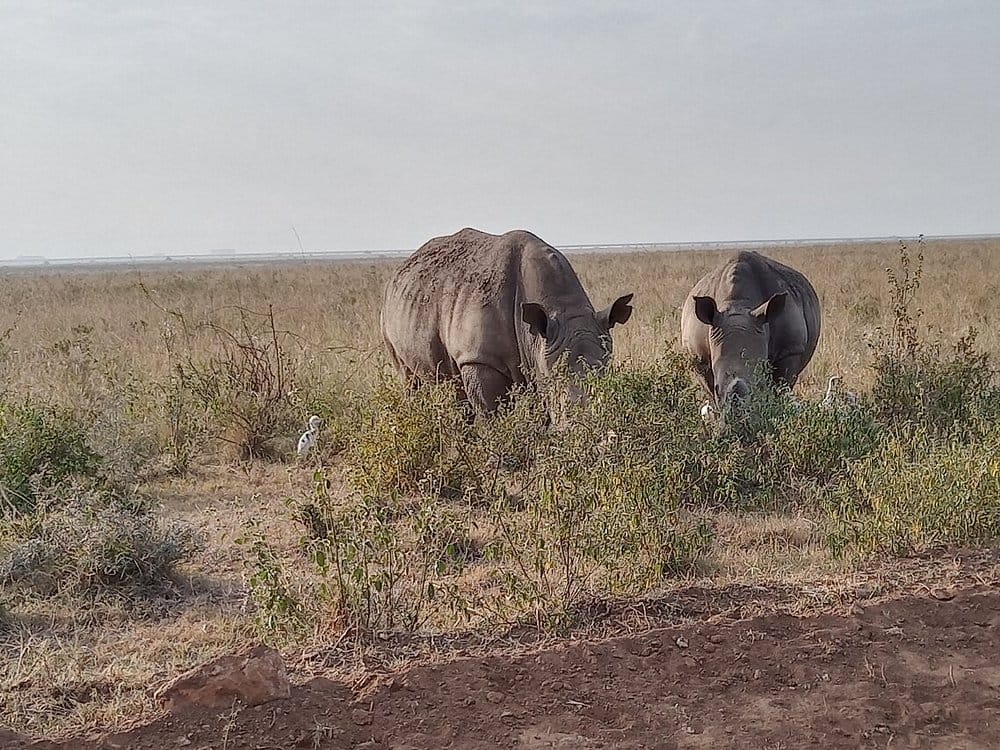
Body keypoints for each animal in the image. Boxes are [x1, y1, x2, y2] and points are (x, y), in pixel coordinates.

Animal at [380, 228, 634, 414]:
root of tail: (402, 267)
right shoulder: (479, 358)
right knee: (409, 379)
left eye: (606, 371)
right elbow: (492, 415)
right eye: (552, 378)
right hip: (387, 314)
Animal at [680, 251, 821, 411]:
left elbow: (780, 386)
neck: (738, 304)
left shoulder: (790, 349)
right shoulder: (699, 357)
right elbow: (710, 391)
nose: (737, 413)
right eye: (717, 388)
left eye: (758, 385)